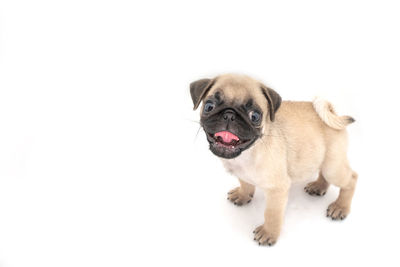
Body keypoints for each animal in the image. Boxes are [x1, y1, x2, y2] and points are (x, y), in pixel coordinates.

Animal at [189, 74, 358, 247]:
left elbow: (272, 214)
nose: (229, 115)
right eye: (209, 106)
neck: (248, 152)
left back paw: (340, 207)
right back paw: (318, 186)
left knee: (351, 178)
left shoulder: (278, 190)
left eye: (255, 116)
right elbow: (246, 184)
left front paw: (268, 233)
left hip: (333, 167)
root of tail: (333, 113)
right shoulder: (242, 174)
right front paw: (243, 195)